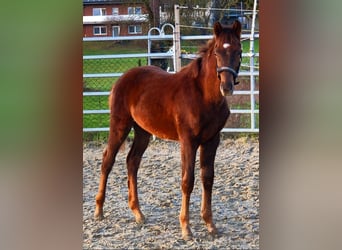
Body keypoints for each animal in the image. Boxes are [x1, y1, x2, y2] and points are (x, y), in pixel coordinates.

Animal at [95, 20, 242, 239]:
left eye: (239, 51)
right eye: (217, 52)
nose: (227, 87)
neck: (204, 95)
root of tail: (122, 79)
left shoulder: (212, 140)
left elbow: (207, 178)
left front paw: (210, 225)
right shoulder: (188, 141)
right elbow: (187, 180)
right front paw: (186, 228)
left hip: (142, 131)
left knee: (132, 161)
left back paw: (138, 213)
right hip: (120, 125)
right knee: (107, 161)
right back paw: (99, 210)